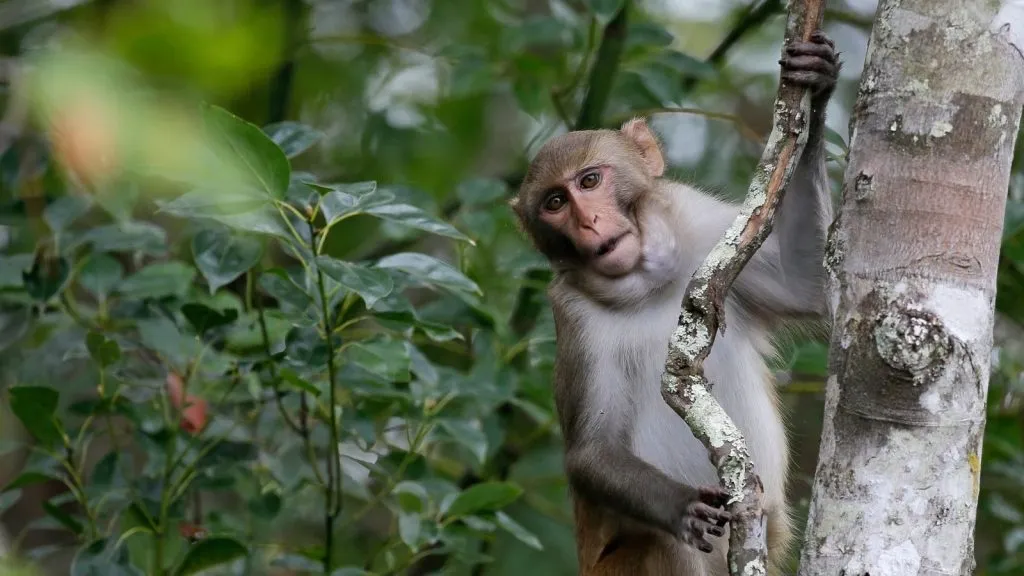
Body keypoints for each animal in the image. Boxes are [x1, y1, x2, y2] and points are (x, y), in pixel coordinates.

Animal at [509, 32, 839, 576]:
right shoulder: (573, 315)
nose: (588, 223)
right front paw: (681, 507)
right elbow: (592, 452)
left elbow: (806, 284)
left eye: (589, 181)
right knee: (662, 545)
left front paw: (816, 85)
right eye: (555, 203)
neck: (648, 285)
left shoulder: (704, 226)